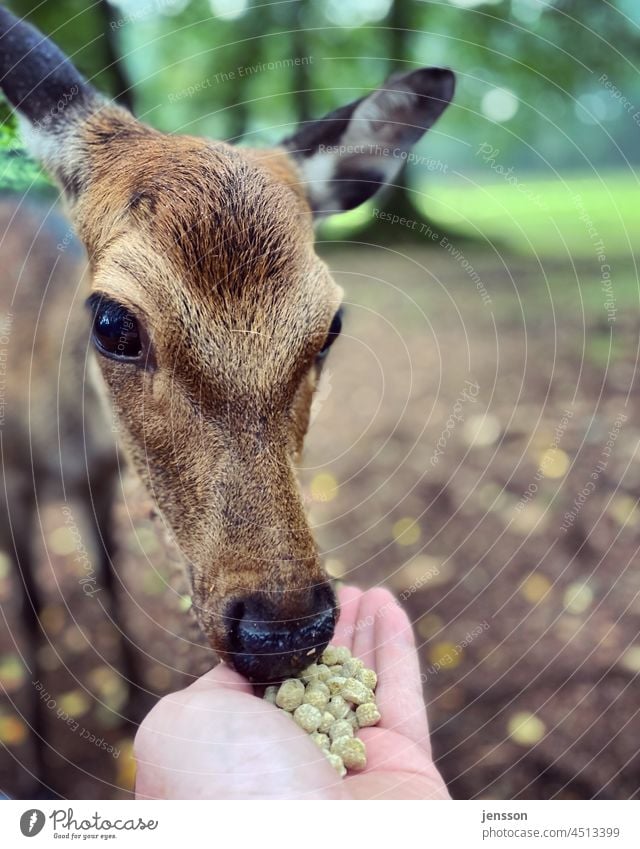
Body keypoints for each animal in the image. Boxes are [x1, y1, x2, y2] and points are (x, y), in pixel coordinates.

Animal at [0, 6, 452, 708]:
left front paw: (134, 706)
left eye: (332, 325)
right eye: (111, 323)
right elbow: (28, 607)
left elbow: (110, 579)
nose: (283, 633)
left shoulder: (103, 479)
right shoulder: (10, 477)